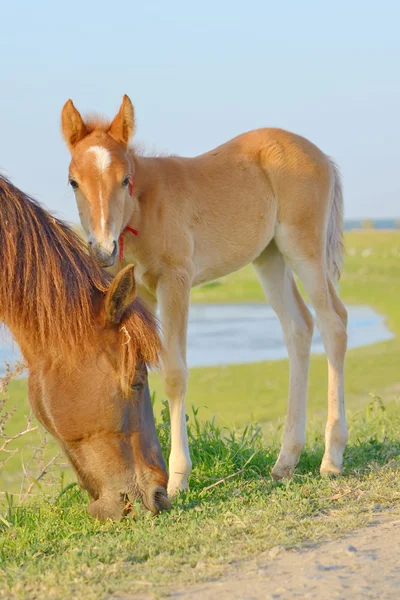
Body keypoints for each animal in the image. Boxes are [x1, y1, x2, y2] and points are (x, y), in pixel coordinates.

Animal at [61, 95, 348, 496]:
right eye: (73, 181)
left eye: (125, 179)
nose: (103, 249)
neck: (144, 208)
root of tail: (321, 155)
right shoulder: (139, 295)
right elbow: (137, 373)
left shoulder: (175, 282)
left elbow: (174, 373)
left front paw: (177, 478)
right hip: (269, 255)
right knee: (299, 327)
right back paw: (285, 461)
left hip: (303, 247)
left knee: (333, 322)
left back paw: (331, 458)